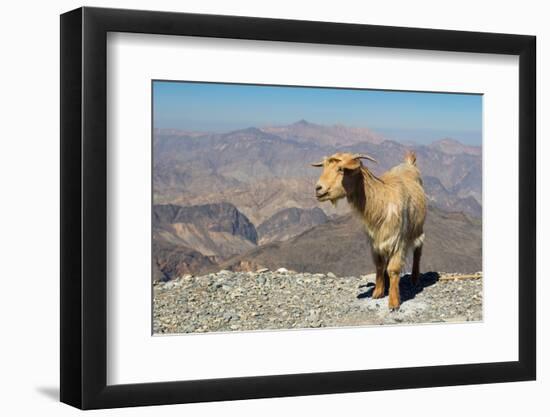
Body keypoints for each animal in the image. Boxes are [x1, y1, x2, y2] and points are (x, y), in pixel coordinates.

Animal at [312, 152, 430, 308]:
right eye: (324, 167)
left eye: (341, 169)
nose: (318, 188)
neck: (381, 201)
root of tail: (409, 164)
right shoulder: (375, 241)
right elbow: (379, 265)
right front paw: (378, 292)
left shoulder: (398, 240)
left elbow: (393, 269)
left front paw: (393, 302)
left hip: (418, 229)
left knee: (418, 250)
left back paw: (415, 278)